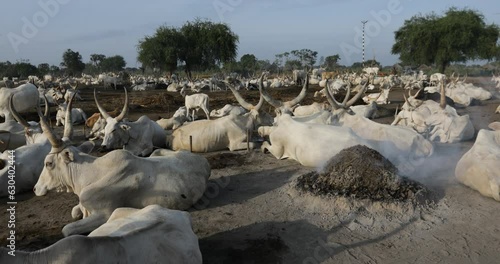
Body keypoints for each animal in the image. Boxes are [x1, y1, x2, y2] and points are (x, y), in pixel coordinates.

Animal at [31, 109, 211, 235]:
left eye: (48, 163)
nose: (35, 188)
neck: (90, 173)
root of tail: (203, 161)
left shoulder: (104, 214)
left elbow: (67, 229)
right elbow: (75, 211)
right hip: (157, 152)